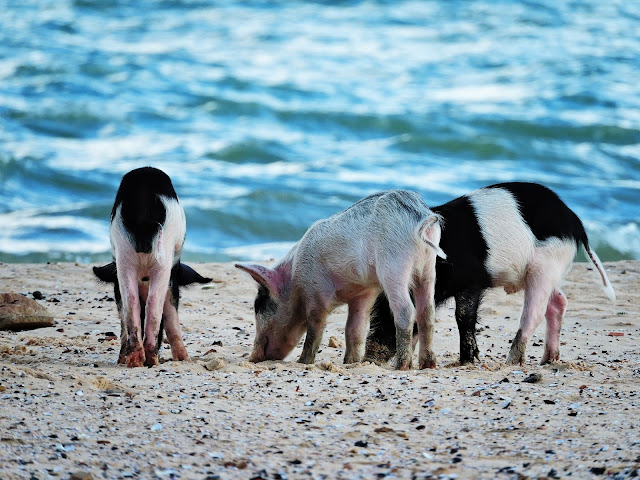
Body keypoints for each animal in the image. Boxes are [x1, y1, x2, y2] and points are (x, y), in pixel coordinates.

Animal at [92, 167, 210, 370]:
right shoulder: (173, 275)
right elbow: (170, 311)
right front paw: (185, 360)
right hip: (163, 258)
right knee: (154, 304)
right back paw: (152, 360)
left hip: (125, 255)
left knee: (132, 303)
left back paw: (134, 362)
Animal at [235, 189, 444, 370]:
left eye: (260, 305)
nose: (252, 358)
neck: (294, 279)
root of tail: (421, 218)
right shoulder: (365, 293)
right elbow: (355, 328)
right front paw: (351, 362)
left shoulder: (315, 289)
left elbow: (315, 327)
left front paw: (304, 362)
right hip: (428, 267)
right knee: (427, 311)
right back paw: (428, 365)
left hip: (394, 265)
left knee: (406, 311)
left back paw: (401, 366)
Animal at [362, 182, 612, 366]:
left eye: (387, 312)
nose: (370, 357)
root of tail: (575, 221)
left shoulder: (472, 281)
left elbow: (463, 316)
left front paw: (468, 361)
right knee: (559, 300)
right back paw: (547, 360)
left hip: (546, 265)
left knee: (535, 311)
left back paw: (512, 362)